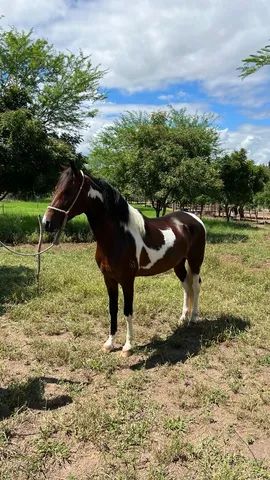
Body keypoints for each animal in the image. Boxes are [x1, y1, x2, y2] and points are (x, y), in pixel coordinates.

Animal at [43, 165, 206, 356]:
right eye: (56, 188)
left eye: (68, 191)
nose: (46, 223)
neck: (118, 236)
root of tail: (195, 218)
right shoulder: (109, 279)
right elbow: (113, 309)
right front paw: (109, 343)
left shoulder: (127, 280)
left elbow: (127, 310)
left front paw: (128, 346)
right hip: (178, 264)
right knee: (186, 286)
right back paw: (182, 318)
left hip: (195, 261)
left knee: (195, 285)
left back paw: (193, 318)